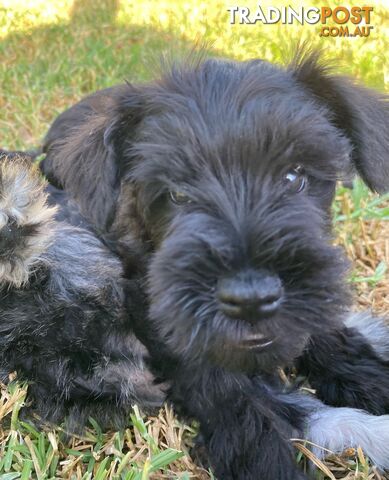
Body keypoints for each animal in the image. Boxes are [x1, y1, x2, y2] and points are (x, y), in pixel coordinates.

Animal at [27, 50, 389, 478]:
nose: (251, 298)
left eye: (294, 176)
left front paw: (372, 379)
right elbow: (239, 407)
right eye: (177, 194)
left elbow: (324, 331)